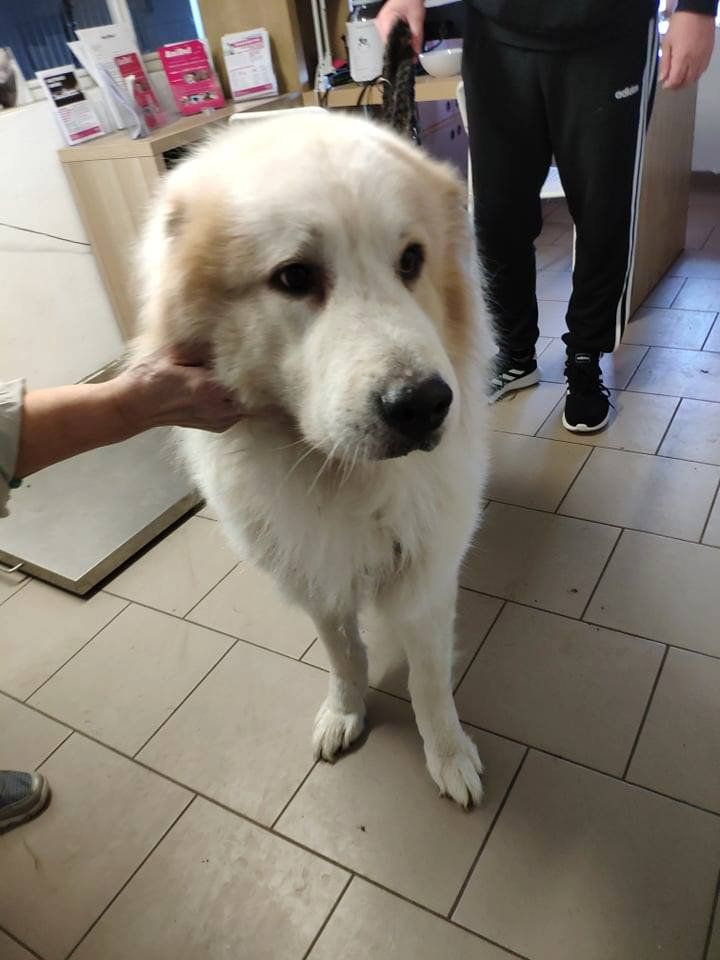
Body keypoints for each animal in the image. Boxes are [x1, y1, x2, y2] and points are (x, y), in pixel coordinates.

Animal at [135, 110, 493, 807]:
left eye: (412, 260)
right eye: (295, 278)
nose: (424, 405)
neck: (343, 477)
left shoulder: (427, 570)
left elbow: (429, 682)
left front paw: (448, 756)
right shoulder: (308, 567)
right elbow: (343, 653)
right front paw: (345, 713)